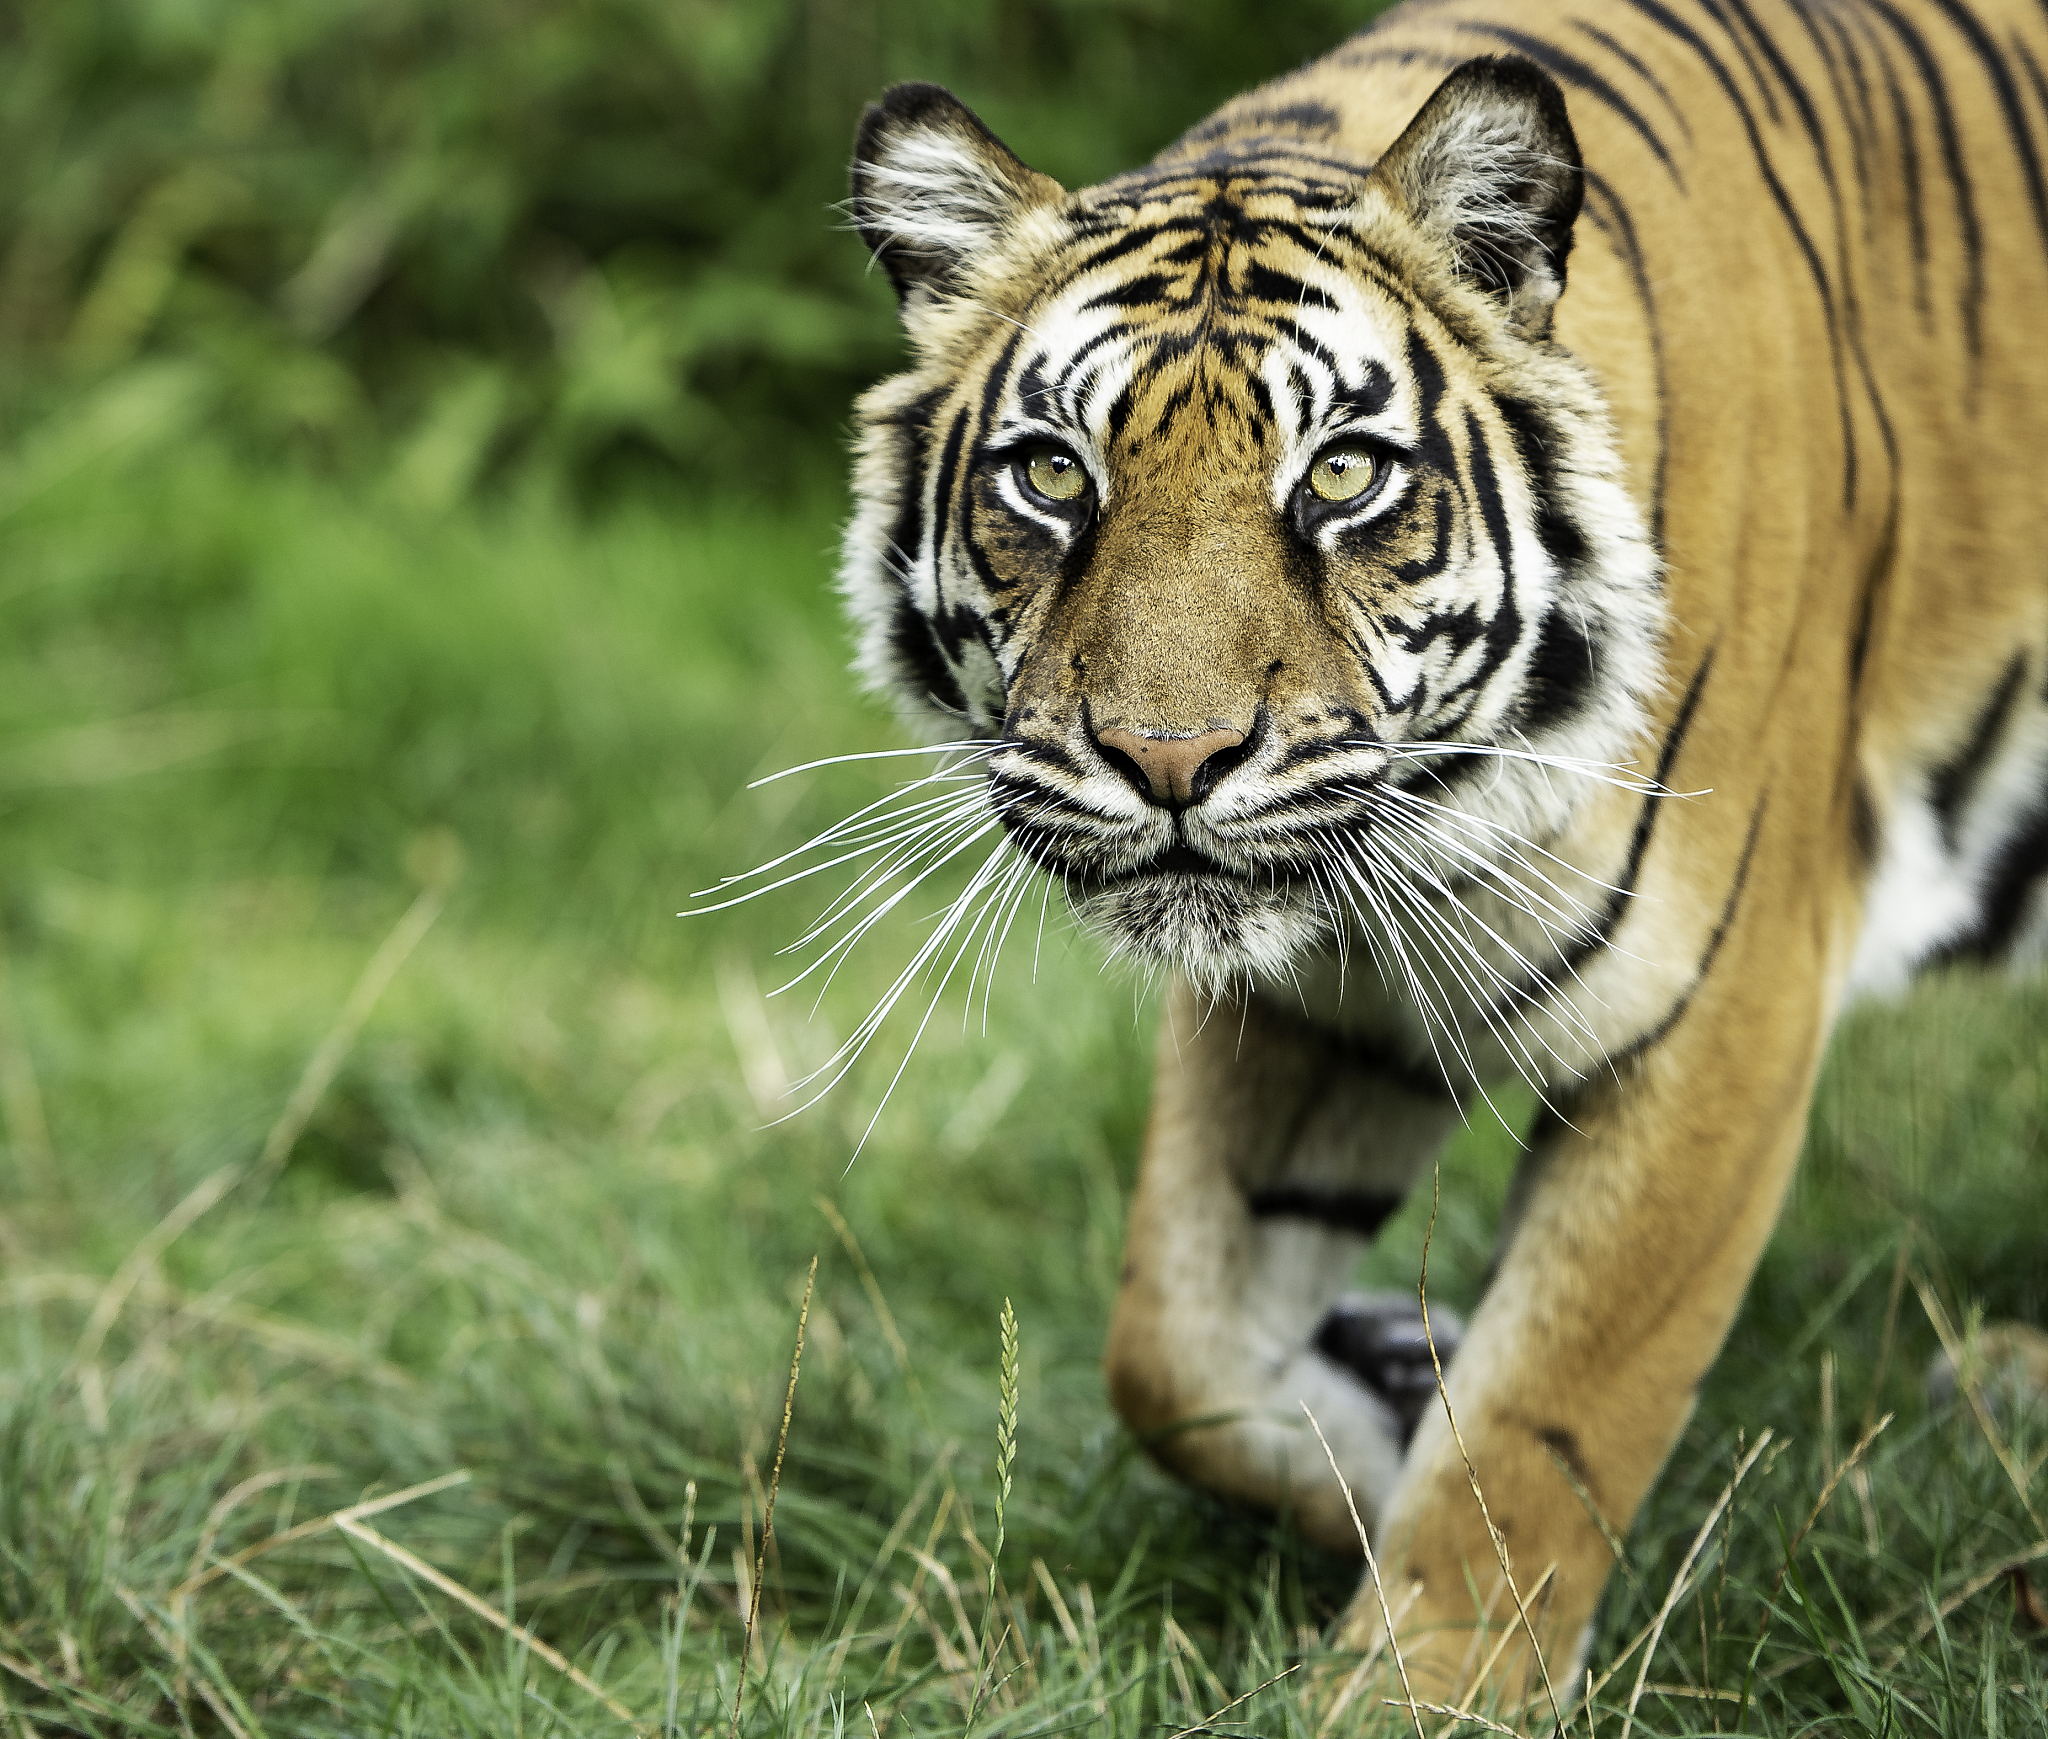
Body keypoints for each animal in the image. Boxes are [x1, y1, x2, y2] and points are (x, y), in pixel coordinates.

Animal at [833, 0, 2048, 1710]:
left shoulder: (1718, 1013)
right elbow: (1173, 1345)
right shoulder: (1313, 999)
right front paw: (1384, 1413)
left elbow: (1552, 1405)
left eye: (1342, 472)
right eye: (1053, 472)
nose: (1168, 759)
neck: (1434, 814)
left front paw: (1422, 1688)